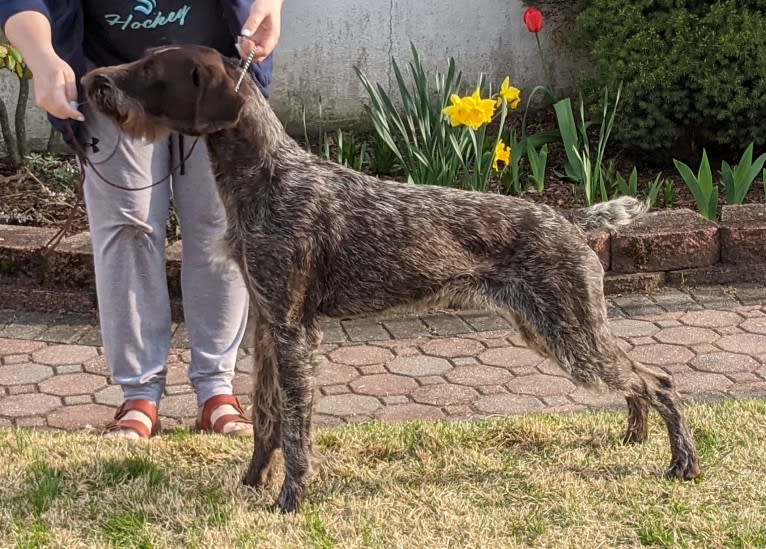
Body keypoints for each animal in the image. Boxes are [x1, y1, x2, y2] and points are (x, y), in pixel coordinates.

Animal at [84, 45, 704, 512]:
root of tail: (568, 218)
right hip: (554, 331)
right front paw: (252, 483)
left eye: (152, 70)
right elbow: (265, 417)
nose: (91, 79)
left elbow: (296, 427)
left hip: (569, 335)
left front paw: (290, 500)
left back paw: (683, 463)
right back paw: (633, 436)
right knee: (637, 380)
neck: (266, 177)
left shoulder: (293, 331)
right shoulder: (265, 323)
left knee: (659, 380)